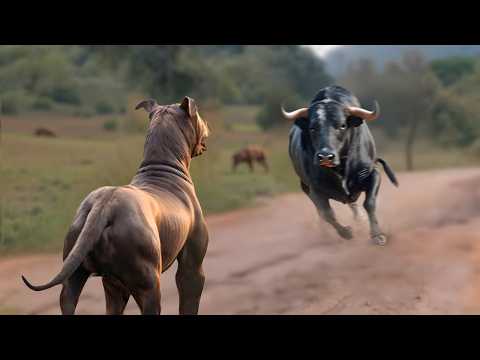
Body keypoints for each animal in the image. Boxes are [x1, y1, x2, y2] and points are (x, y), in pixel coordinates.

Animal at [22, 96, 210, 316]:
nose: (208, 125)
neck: (162, 166)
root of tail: (103, 206)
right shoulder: (192, 270)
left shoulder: (114, 286)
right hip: (149, 286)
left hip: (78, 280)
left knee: (70, 297)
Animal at [284, 86, 400, 246]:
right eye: (312, 128)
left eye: (342, 125)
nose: (325, 156)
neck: (341, 168)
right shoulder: (315, 188)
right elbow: (327, 213)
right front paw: (346, 232)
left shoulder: (373, 174)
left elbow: (369, 203)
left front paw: (377, 235)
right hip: (304, 186)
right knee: (321, 212)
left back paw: (360, 219)